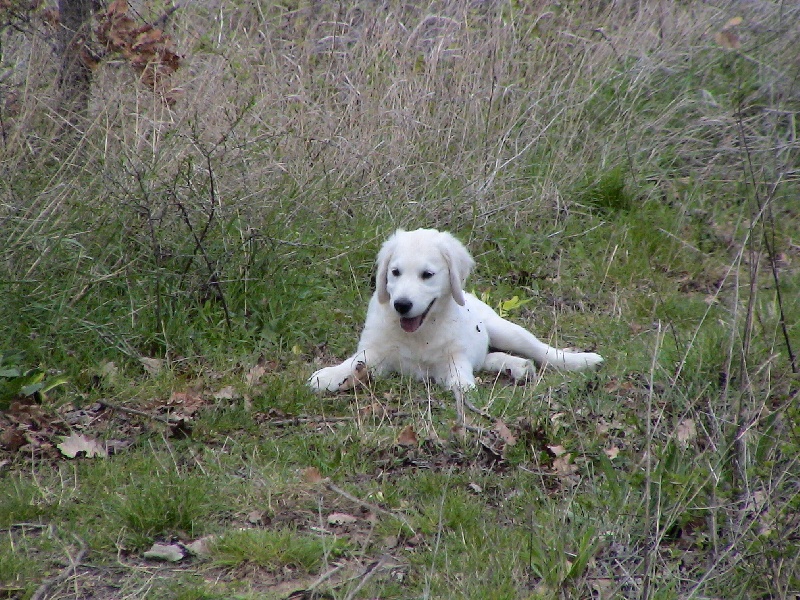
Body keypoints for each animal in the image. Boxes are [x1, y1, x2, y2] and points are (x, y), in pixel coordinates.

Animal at [310, 229, 604, 394]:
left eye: (427, 275)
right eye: (395, 272)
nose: (401, 305)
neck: (421, 331)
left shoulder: (454, 354)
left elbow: (458, 371)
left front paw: (462, 386)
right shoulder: (376, 353)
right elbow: (353, 362)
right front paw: (328, 376)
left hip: (504, 329)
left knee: (540, 350)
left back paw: (581, 360)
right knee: (488, 357)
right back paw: (516, 365)